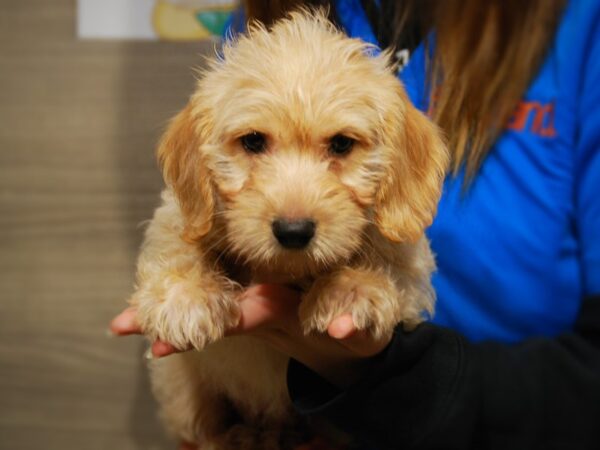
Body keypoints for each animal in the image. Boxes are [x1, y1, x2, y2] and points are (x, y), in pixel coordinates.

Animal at [129, 10, 448, 450]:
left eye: (342, 144)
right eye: (252, 141)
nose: (293, 231)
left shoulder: (410, 264)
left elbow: (391, 262)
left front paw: (350, 288)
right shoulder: (177, 215)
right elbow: (176, 242)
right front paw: (185, 297)